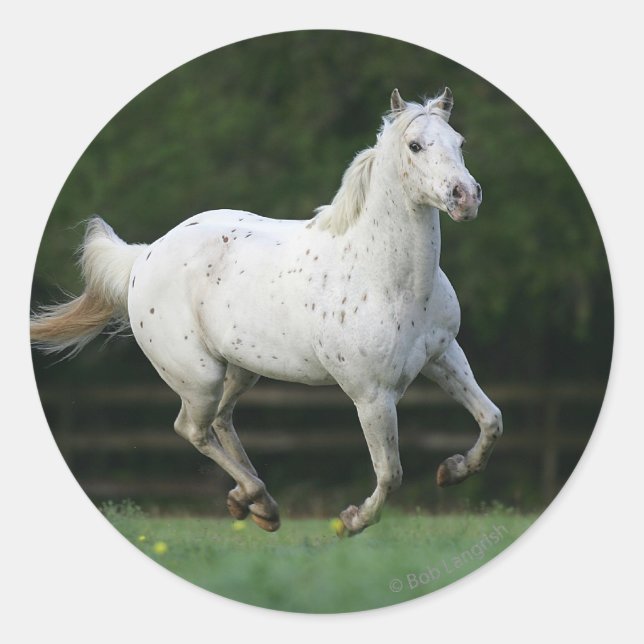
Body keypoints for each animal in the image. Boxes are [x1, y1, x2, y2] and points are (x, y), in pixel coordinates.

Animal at [31, 87, 503, 536]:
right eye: (415, 145)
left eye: (460, 142)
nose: (465, 197)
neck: (389, 279)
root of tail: (145, 256)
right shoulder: (371, 394)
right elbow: (390, 473)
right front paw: (349, 522)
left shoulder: (443, 356)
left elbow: (491, 420)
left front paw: (452, 471)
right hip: (199, 377)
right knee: (192, 428)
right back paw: (258, 499)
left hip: (241, 369)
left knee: (221, 421)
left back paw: (255, 504)